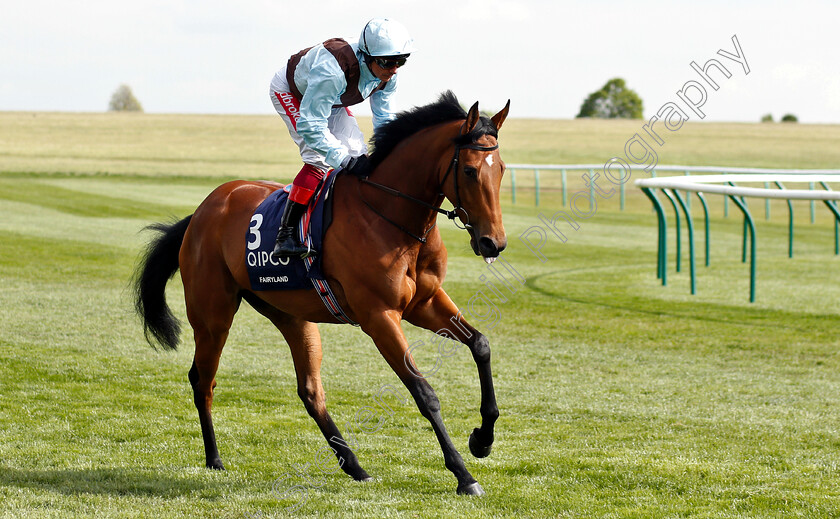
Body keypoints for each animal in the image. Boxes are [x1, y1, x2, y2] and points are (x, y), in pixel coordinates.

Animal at [135, 91, 508, 498]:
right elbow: (424, 392)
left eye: (502, 169)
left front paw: (483, 439)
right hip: (212, 316)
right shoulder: (379, 316)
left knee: (310, 392)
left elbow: (481, 344)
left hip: (291, 315)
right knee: (203, 380)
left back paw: (356, 467)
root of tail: (201, 212)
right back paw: (214, 458)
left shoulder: (424, 303)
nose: (493, 242)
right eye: (470, 170)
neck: (392, 216)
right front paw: (463, 474)